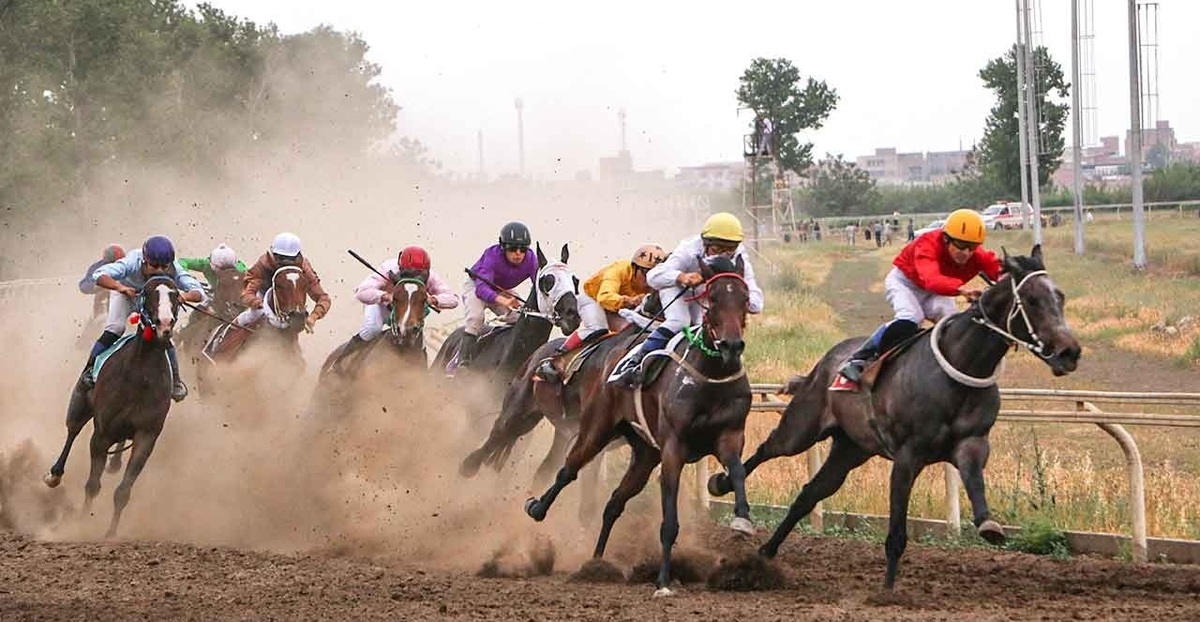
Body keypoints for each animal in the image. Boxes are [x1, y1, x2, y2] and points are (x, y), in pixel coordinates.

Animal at [44, 276, 183, 537]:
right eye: (148, 293)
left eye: (176, 296)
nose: (165, 324)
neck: (139, 376)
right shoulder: (101, 435)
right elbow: (92, 485)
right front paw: (82, 522)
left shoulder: (146, 436)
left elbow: (123, 491)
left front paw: (110, 533)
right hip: (80, 406)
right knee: (72, 432)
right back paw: (54, 474)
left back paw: (115, 463)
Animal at [523, 254, 748, 600]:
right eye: (712, 300)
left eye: (746, 299)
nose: (731, 345)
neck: (710, 375)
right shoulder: (673, 448)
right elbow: (669, 522)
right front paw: (664, 581)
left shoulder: (729, 438)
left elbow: (737, 471)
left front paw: (742, 519)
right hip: (596, 428)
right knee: (567, 471)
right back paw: (537, 508)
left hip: (644, 454)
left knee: (613, 503)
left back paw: (596, 561)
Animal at [705, 243, 1084, 590]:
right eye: (1032, 300)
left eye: (1060, 297)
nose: (1070, 352)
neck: (960, 367)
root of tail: (827, 360)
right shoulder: (907, 456)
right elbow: (897, 533)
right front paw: (887, 591)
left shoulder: (972, 443)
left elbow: (975, 481)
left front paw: (988, 525)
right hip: (803, 428)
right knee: (768, 448)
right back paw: (723, 486)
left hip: (851, 448)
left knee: (808, 494)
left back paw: (765, 555)